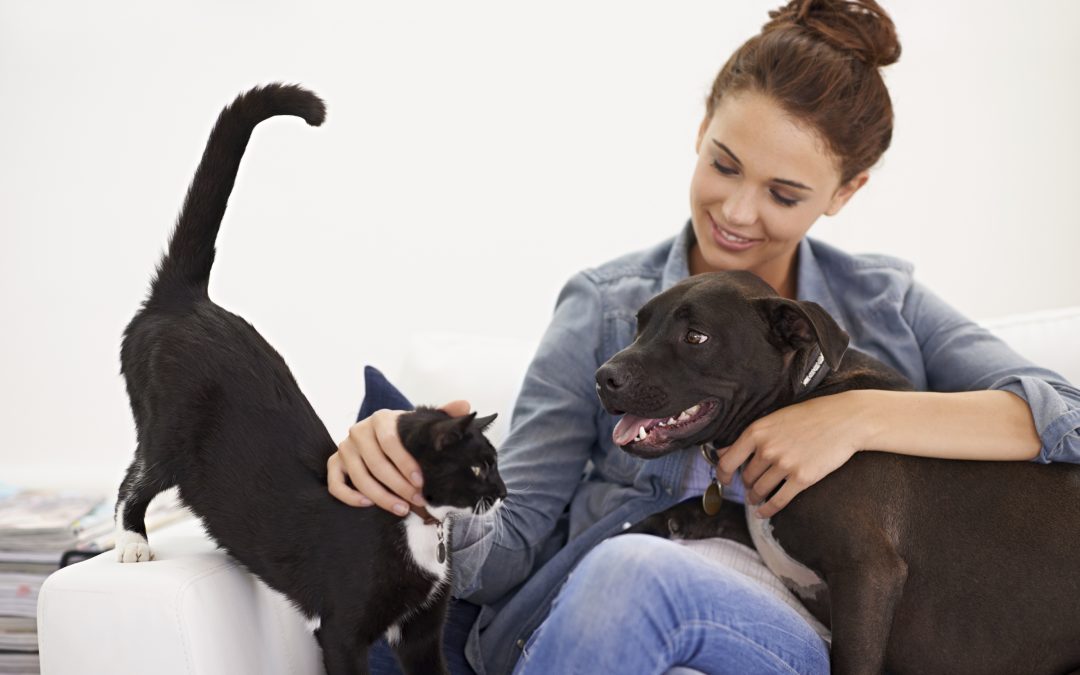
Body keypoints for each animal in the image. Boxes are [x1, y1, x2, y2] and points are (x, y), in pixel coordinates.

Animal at [113, 84, 505, 673]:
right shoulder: (341, 631)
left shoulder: (422, 631)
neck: (418, 529)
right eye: (480, 466)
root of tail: (186, 299)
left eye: (495, 462)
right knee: (136, 478)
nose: (503, 492)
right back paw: (132, 542)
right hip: (169, 431)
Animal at [596, 271, 1080, 673]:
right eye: (640, 325)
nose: (603, 377)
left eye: (696, 337)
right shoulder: (766, 522)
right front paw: (655, 524)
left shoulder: (867, 573)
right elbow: (722, 512)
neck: (799, 395)